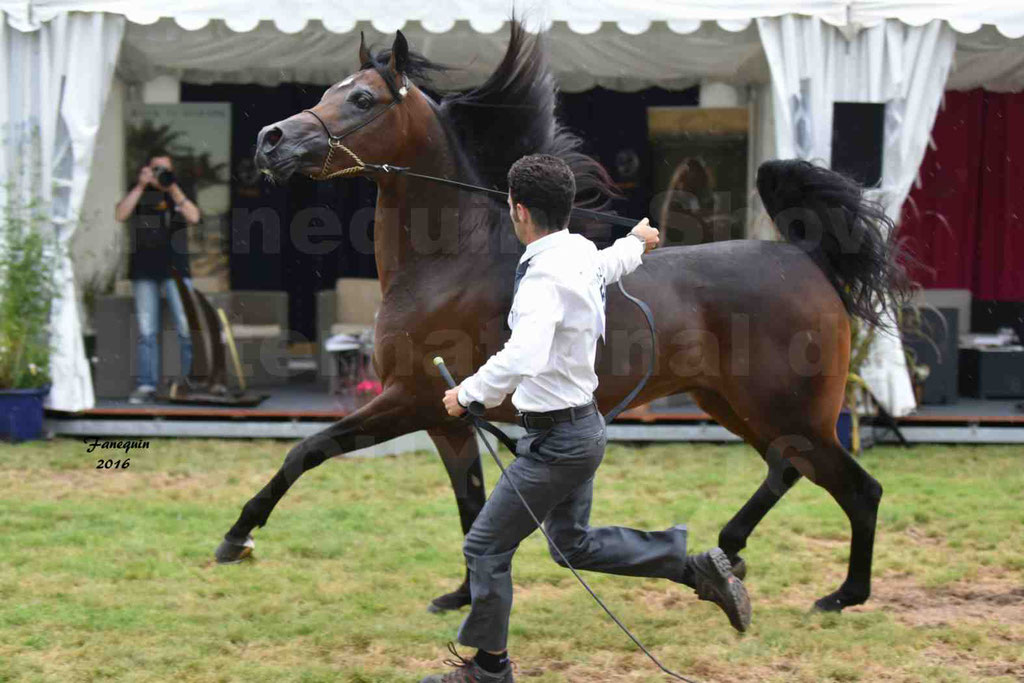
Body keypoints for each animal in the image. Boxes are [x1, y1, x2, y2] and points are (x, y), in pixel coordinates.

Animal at [222, 24, 905, 618]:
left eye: (361, 98)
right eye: (327, 91)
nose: (270, 140)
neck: (449, 262)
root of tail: (805, 256)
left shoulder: (409, 398)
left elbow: (307, 450)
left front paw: (237, 538)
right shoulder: (446, 419)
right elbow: (470, 504)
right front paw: (461, 594)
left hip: (789, 410)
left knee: (858, 488)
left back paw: (842, 595)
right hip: (735, 405)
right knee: (789, 470)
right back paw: (731, 552)